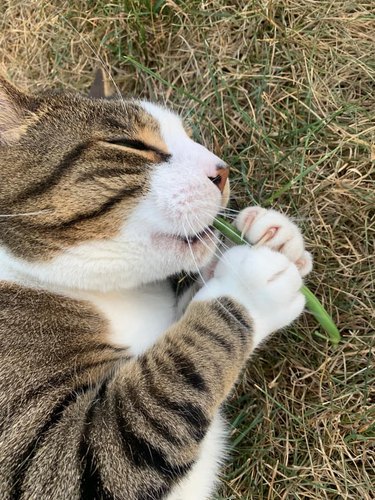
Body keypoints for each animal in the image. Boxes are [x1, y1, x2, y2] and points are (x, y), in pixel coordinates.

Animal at [0, 71, 312, 500]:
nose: (223, 171)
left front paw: (274, 237)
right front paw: (252, 282)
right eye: (129, 144)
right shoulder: (51, 462)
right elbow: (170, 383)